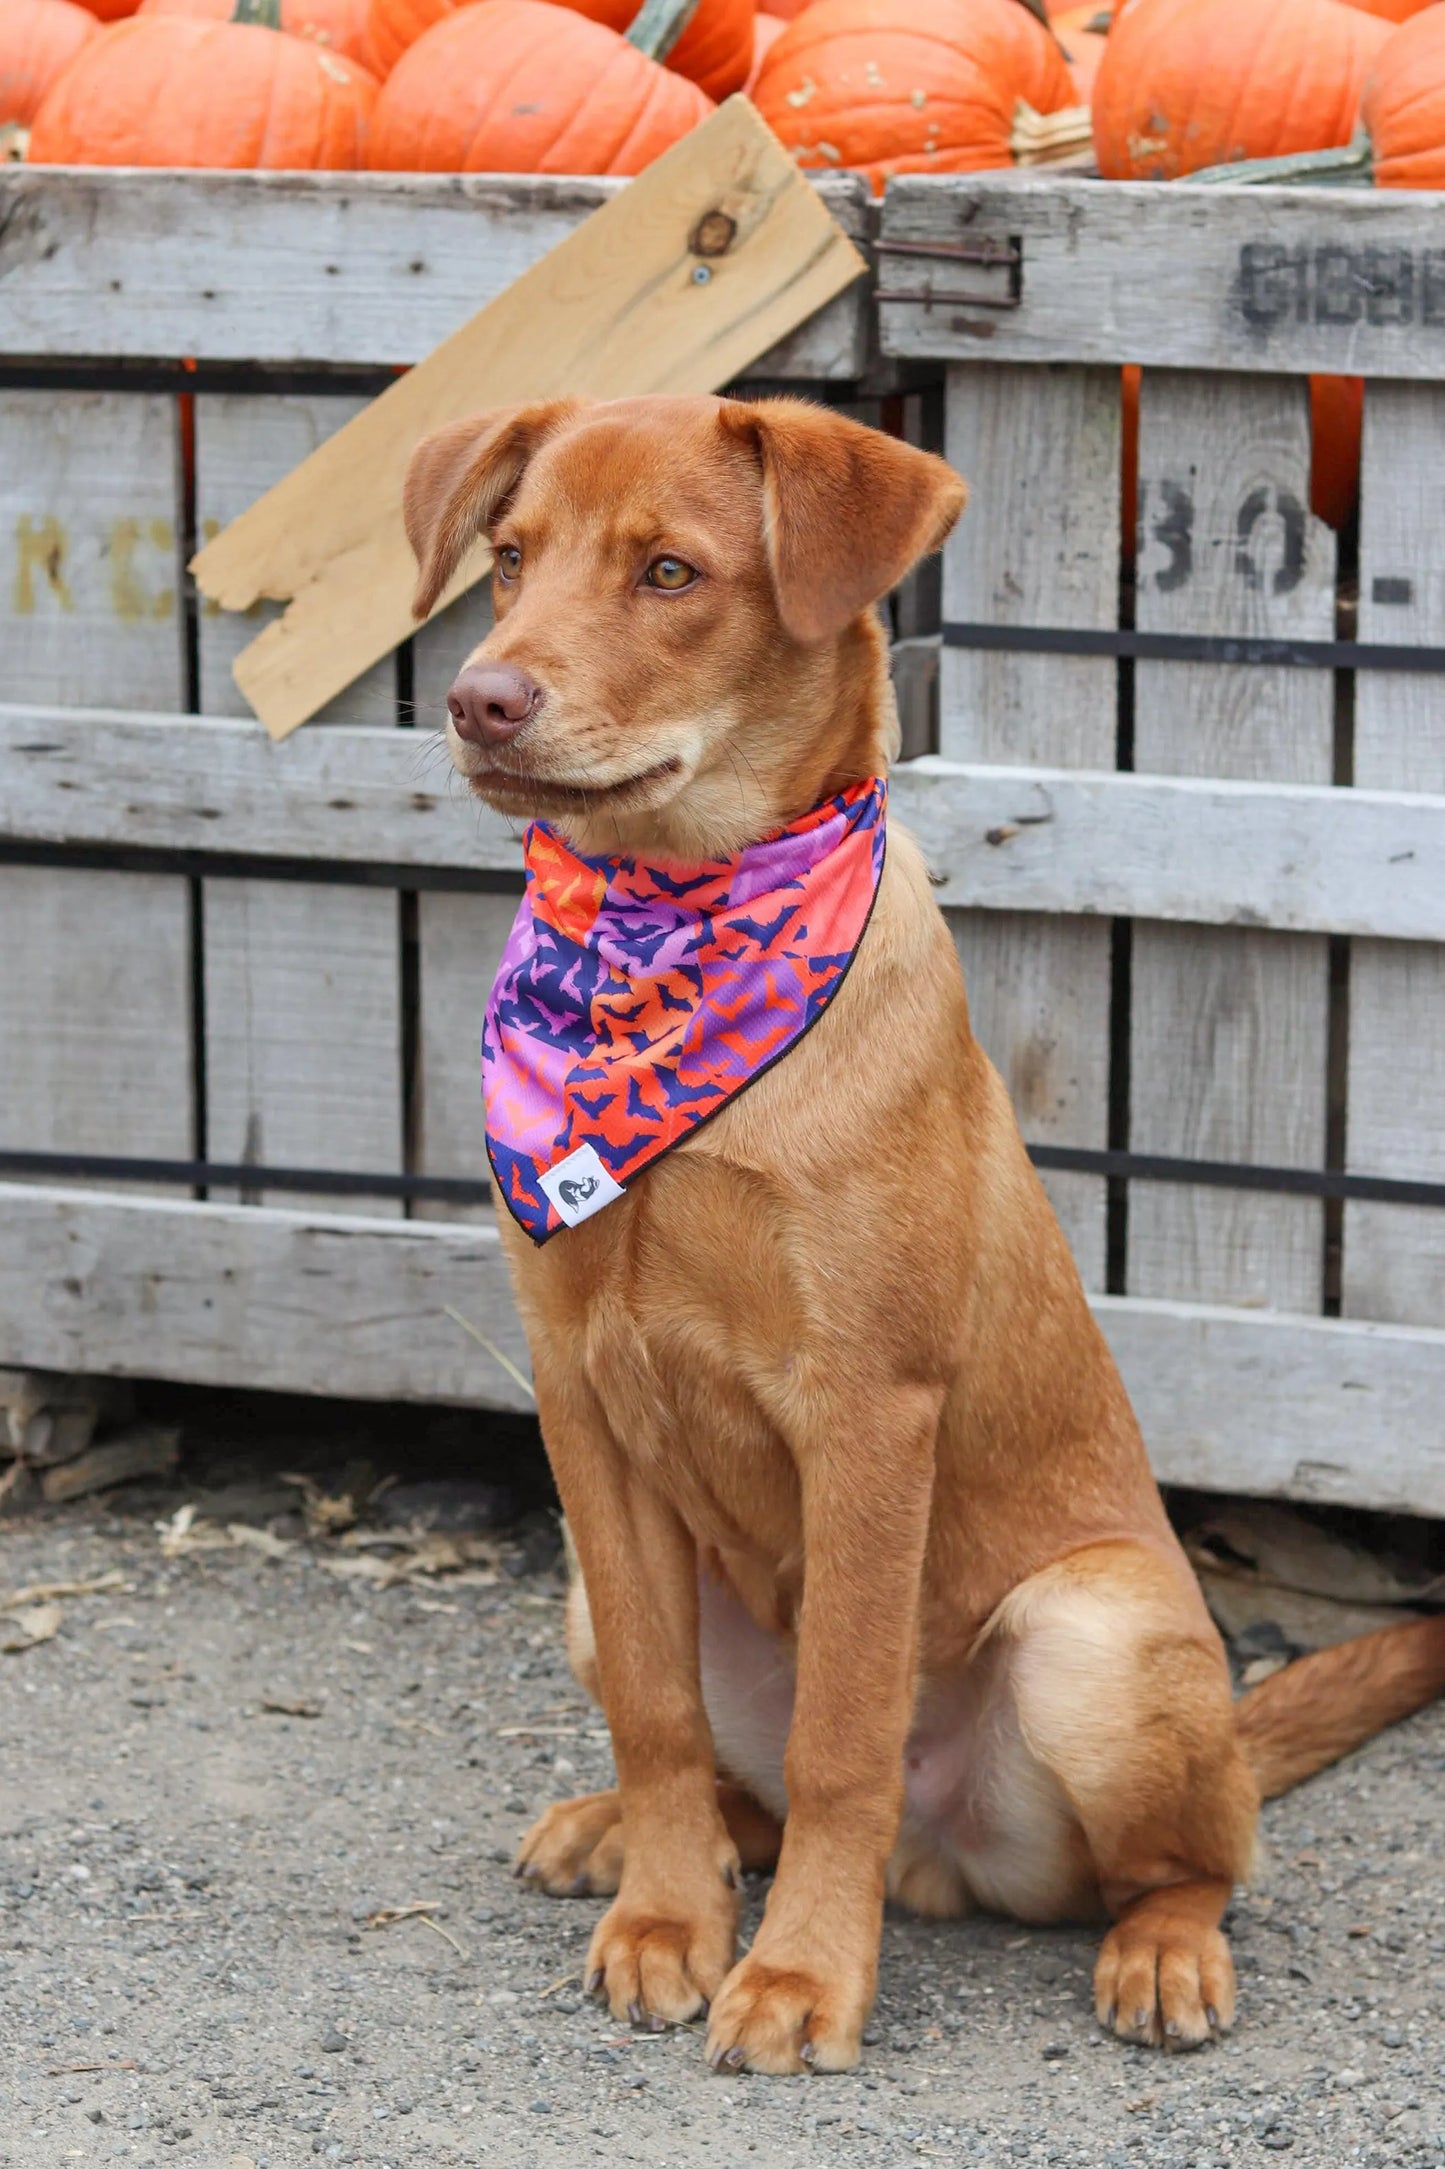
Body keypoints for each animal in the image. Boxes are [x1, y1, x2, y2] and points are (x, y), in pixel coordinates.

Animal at [399, 399, 1440, 2073]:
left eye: (671, 572)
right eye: (506, 558)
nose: (479, 699)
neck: (664, 935)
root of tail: (944, 1858)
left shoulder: (869, 1413)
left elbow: (842, 1735)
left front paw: (801, 1976)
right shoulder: (580, 1406)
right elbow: (658, 1708)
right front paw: (669, 1919)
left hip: (1094, 1644)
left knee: (1194, 1860)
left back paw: (1161, 1952)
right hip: (589, 1590)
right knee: (730, 1776)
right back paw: (625, 1834)